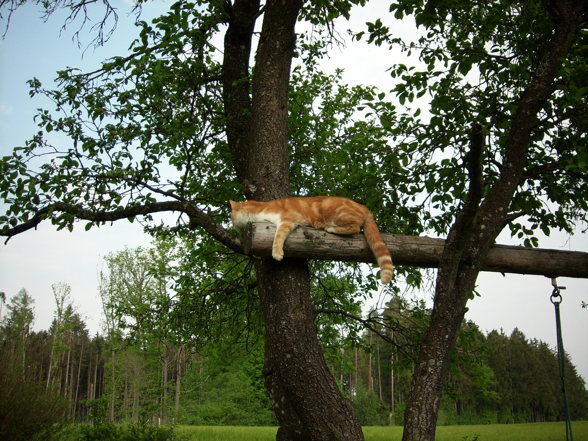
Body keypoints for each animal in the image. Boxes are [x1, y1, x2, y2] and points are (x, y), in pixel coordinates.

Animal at [230, 195, 396, 284]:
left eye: (231, 215)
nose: (231, 222)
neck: (259, 209)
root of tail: (364, 207)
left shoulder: (286, 220)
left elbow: (277, 237)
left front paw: (277, 253)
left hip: (335, 211)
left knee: (354, 228)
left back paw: (331, 228)